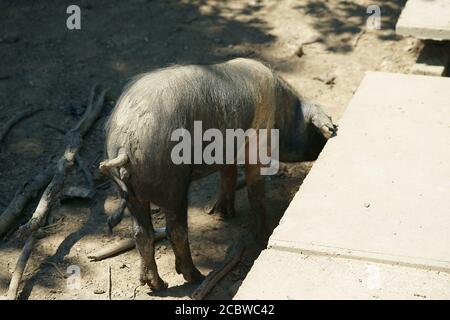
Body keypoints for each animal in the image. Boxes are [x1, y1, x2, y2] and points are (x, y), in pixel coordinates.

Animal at [99, 58, 338, 290]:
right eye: (318, 130)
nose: (333, 130)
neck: (284, 114)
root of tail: (125, 143)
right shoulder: (257, 142)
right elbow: (255, 192)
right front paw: (263, 235)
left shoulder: (227, 150)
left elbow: (228, 174)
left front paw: (225, 214)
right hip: (172, 185)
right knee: (175, 231)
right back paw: (196, 277)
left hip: (133, 195)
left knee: (141, 234)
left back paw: (157, 285)